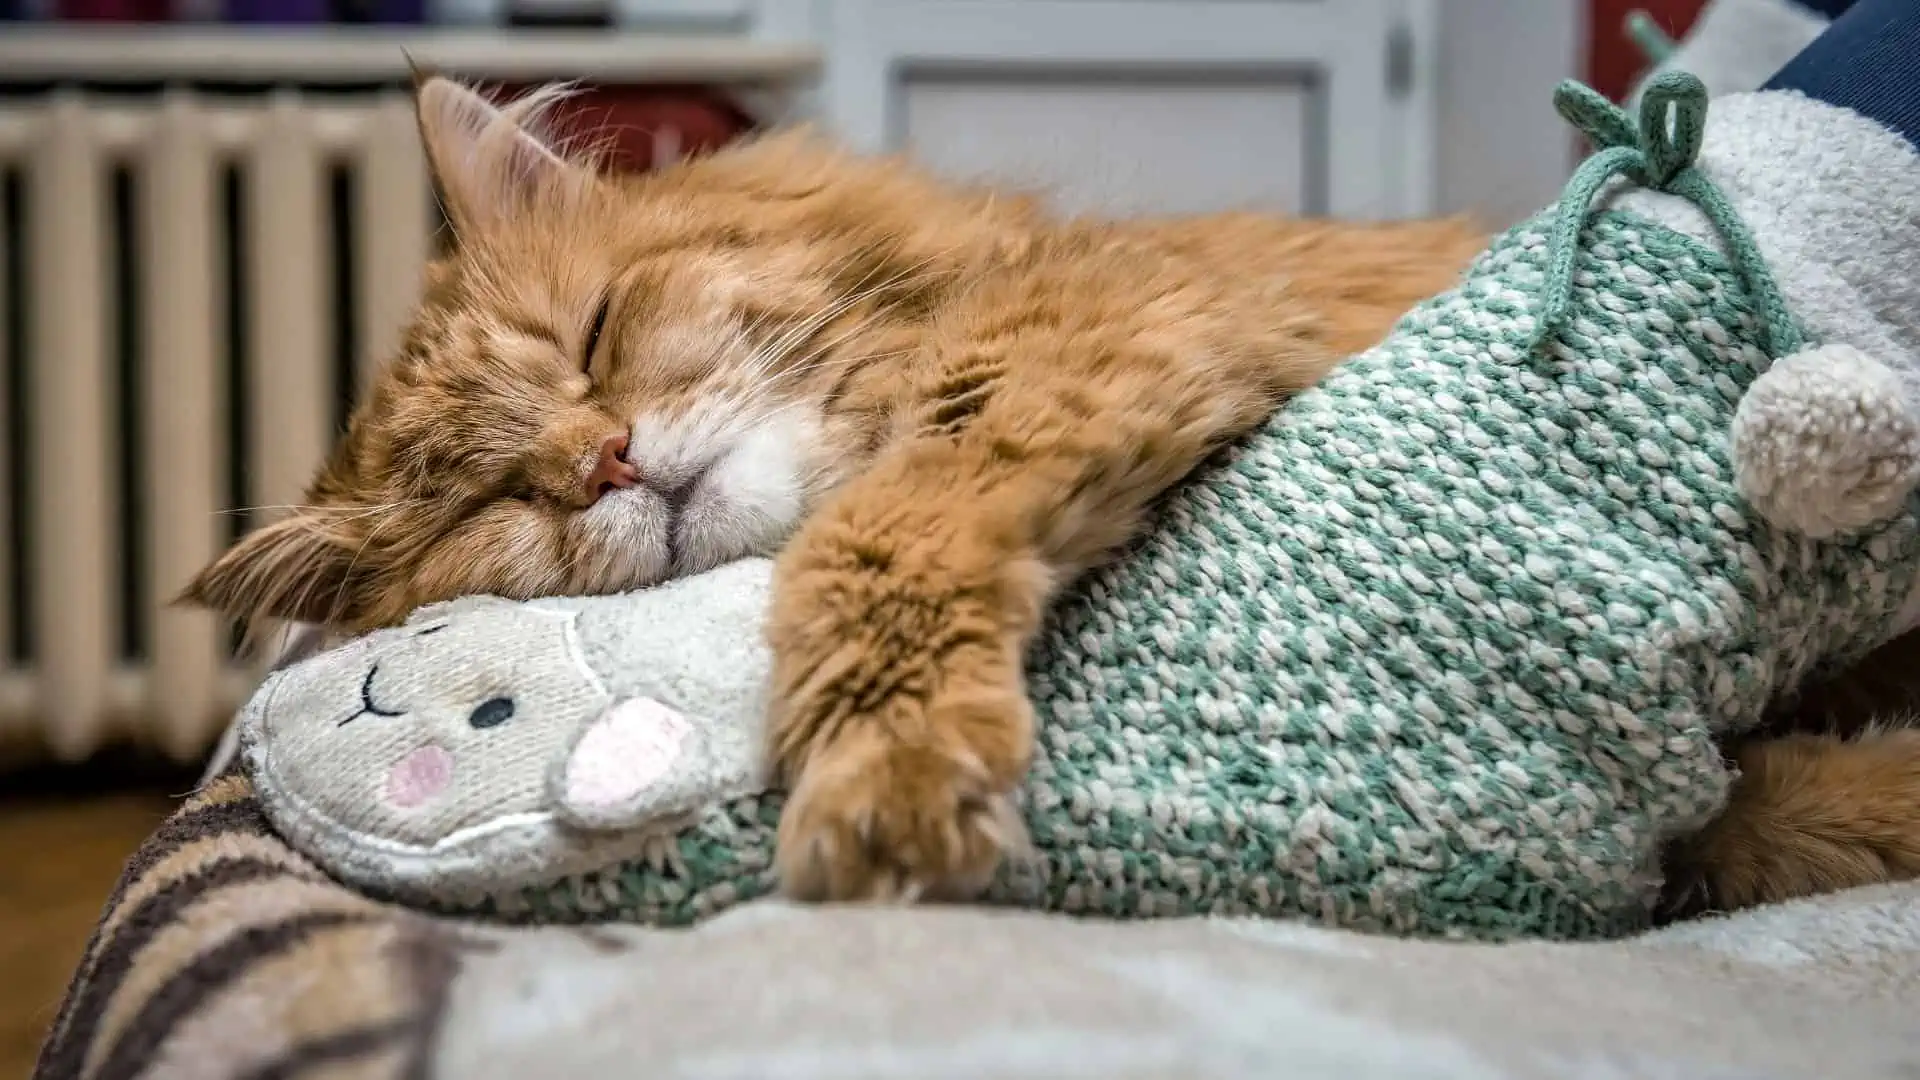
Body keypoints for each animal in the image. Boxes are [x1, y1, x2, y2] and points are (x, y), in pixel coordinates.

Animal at [183, 77, 1920, 907]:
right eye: (491, 505)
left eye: (594, 338)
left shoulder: (1089, 350)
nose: (601, 462)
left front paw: (884, 784)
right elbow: (1748, 827)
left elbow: (877, 541)